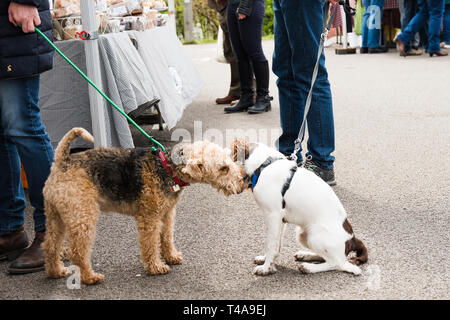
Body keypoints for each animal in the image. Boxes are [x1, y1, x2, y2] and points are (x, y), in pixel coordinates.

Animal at [42, 127, 246, 284]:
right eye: (223, 168)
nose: (243, 181)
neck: (168, 168)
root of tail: (61, 161)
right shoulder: (150, 218)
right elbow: (151, 244)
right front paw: (156, 266)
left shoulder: (167, 213)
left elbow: (166, 237)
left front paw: (171, 257)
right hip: (83, 218)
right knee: (76, 251)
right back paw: (89, 277)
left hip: (56, 217)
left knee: (51, 245)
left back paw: (56, 271)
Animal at [230, 139, 368, 276]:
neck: (264, 164)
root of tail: (353, 239)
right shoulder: (280, 220)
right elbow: (276, 244)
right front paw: (266, 260)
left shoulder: (273, 215)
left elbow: (270, 244)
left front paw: (265, 268)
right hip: (302, 235)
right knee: (326, 257)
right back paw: (305, 255)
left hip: (315, 237)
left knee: (338, 264)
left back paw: (308, 267)